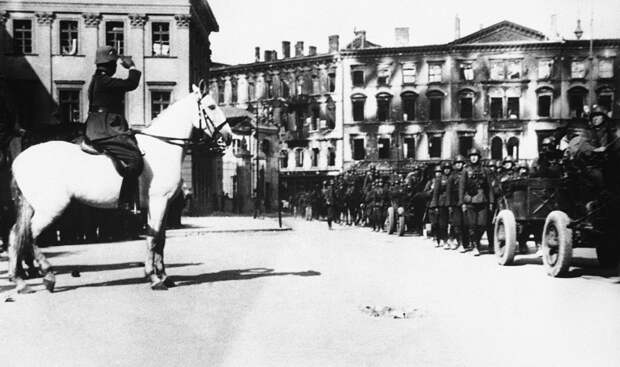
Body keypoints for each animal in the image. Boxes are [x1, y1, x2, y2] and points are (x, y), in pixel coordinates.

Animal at [8, 82, 231, 294]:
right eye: (212, 106)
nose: (228, 137)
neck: (162, 148)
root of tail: (20, 158)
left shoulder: (162, 205)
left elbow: (160, 239)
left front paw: (164, 276)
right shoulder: (159, 202)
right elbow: (154, 238)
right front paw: (154, 278)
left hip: (32, 206)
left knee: (16, 234)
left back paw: (20, 281)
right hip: (52, 208)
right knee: (31, 235)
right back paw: (47, 276)